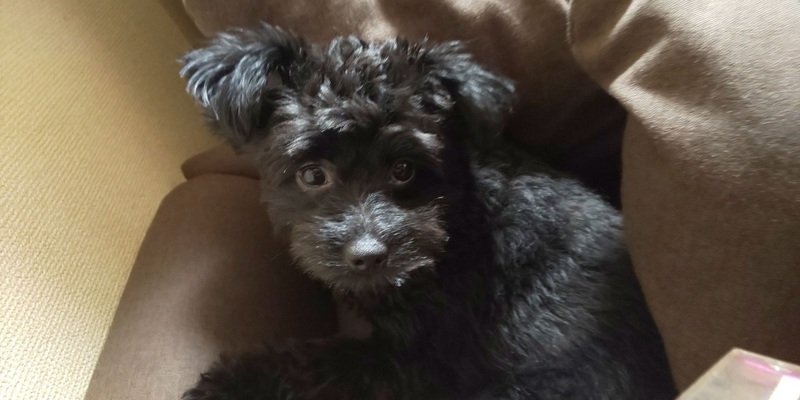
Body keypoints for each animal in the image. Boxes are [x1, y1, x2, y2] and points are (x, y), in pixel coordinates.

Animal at [179, 23, 676, 400]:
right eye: (312, 175)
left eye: (403, 170)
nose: (369, 255)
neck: (461, 224)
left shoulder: (421, 363)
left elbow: (320, 362)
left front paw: (230, 381)